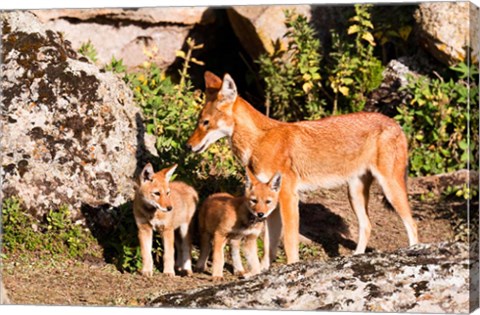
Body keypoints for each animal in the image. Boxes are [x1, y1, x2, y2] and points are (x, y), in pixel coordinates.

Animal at [186, 71, 418, 266]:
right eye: (198, 122)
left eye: (205, 122)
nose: (188, 146)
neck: (259, 142)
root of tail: (396, 124)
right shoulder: (269, 203)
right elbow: (269, 247)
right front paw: (263, 272)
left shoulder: (288, 196)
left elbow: (289, 242)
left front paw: (292, 268)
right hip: (354, 194)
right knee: (367, 226)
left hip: (390, 189)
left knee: (412, 226)